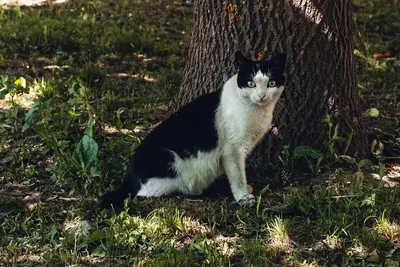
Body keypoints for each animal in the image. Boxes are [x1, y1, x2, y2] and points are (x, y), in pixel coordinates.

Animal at [101, 50, 286, 209]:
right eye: (251, 83)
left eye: (271, 83)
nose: (262, 95)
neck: (257, 111)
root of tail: (129, 178)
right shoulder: (232, 151)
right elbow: (238, 176)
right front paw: (243, 197)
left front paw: (246, 190)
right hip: (169, 159)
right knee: (149, 192)